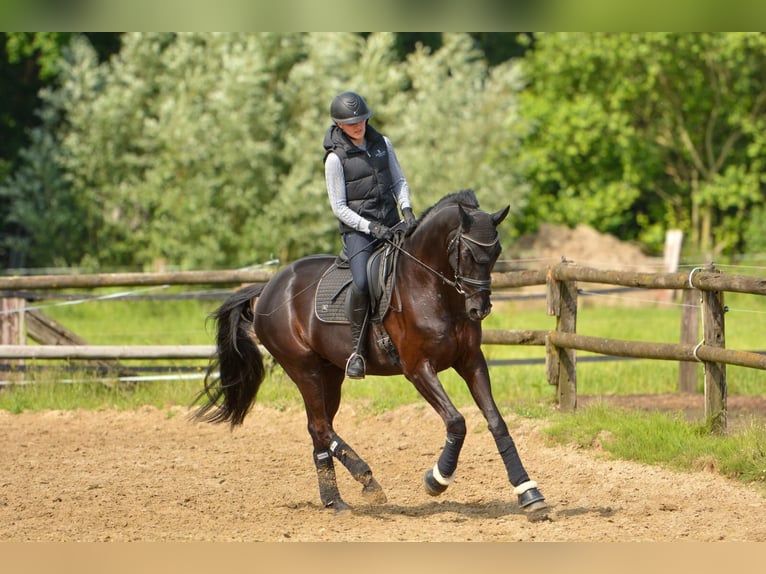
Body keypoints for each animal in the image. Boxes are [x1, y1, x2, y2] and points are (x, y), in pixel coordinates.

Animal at [195, 189, 548, 516]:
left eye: (496, 251)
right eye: (468, 251)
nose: (480, 309)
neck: (431, 287)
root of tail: (268, 288)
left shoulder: (471, 361)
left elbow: (496, 422)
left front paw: (529, 492)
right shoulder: (418, 368)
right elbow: (457, 421)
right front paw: (436, 480)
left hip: (330, 374)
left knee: (318, 427)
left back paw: (342, 495)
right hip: (304, 368)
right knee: (320, 426)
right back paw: (360, 485)